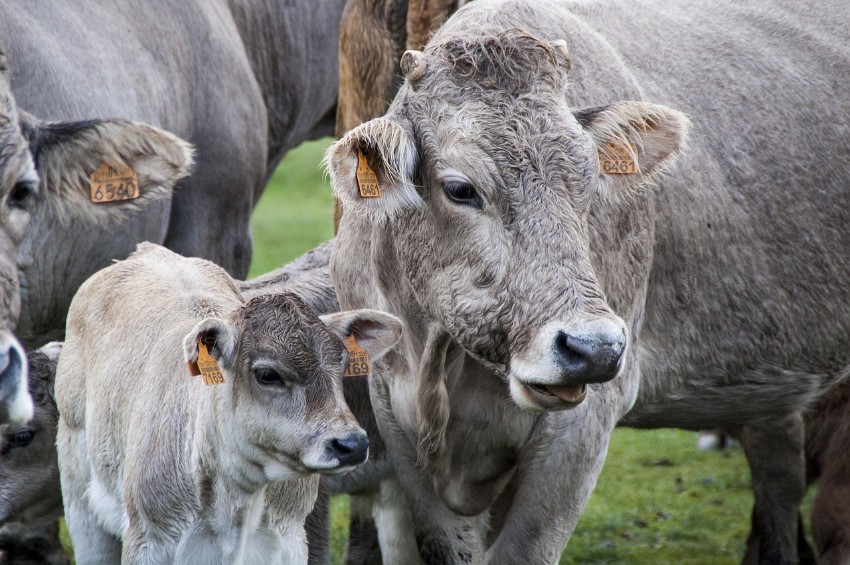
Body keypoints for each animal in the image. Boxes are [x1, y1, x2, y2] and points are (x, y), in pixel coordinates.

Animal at [55, 243, 402, 564]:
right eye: (267, 374)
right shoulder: (148, 540)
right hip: (79, 500)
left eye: (341, 365)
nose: (351, 444)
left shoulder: (290, 539)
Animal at [325, 0, 850, 562]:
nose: (593, 347)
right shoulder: (393, 413)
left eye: (589, 179)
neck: (442, 362)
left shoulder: (583, 424)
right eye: (461, 189)